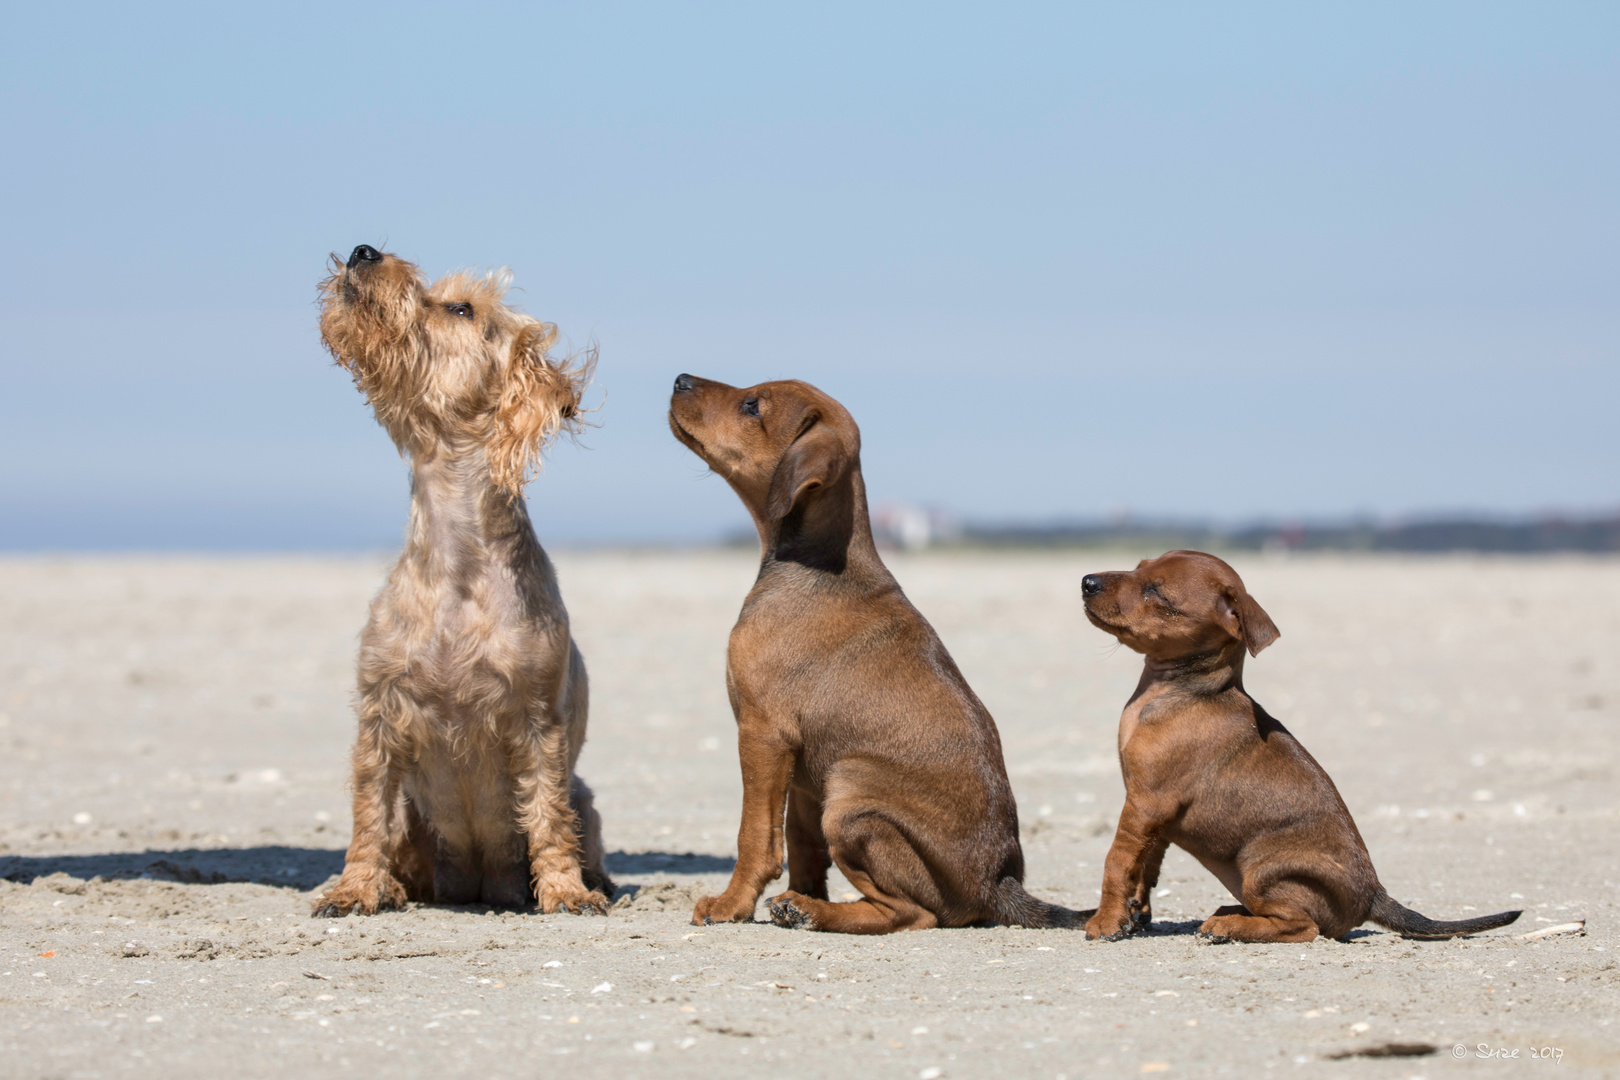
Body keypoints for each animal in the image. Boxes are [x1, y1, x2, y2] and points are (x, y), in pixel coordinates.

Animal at [306, 247, 609, 919]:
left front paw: (565, 891)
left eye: (461, 308)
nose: (364, 251)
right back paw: (396, 886)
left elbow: (548, 813)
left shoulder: (538, 721)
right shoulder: (381, 714)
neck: (457, 565)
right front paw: (355, 888)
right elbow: (368, 815)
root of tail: (473, 882)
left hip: (588, 798)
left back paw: (595, 881)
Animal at [670, 375, 1075, 932]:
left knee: (913, 913)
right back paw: (803, 906)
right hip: (836, 787)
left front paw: (731, 905)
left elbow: (755, 836)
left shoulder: (763, 732)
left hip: (852, 796)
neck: (815, 561)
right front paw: (798, 892)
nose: (679, 380)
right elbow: (800, 842)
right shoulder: (801, 769)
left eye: (752, 405)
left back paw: (819, 912)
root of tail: (998, 884)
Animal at [1075, 553, 1516, 939]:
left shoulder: (1146, 803)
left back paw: (1229, 926)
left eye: (1156, 591)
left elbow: (1117, 861)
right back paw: (1232, 913)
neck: (1179, 690)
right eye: (1138, 567)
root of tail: (1373, 895)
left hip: (1259, 866)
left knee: (1304, 927)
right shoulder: (1155, 818)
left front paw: (1105, 920)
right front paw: (1133, 913)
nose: (1087, 581)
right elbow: (1146, 865)